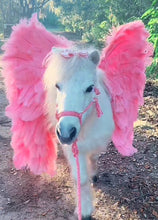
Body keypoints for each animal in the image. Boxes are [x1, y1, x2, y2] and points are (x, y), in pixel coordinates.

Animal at [1, 15, 152, 220]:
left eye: (90, 87)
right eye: (57, 86)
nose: (66, 132)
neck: (87, 124)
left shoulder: (98, 141)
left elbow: (94, 159)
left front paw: (94, 174)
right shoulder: (74, 148)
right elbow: (81, 179)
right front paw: (85, 209)